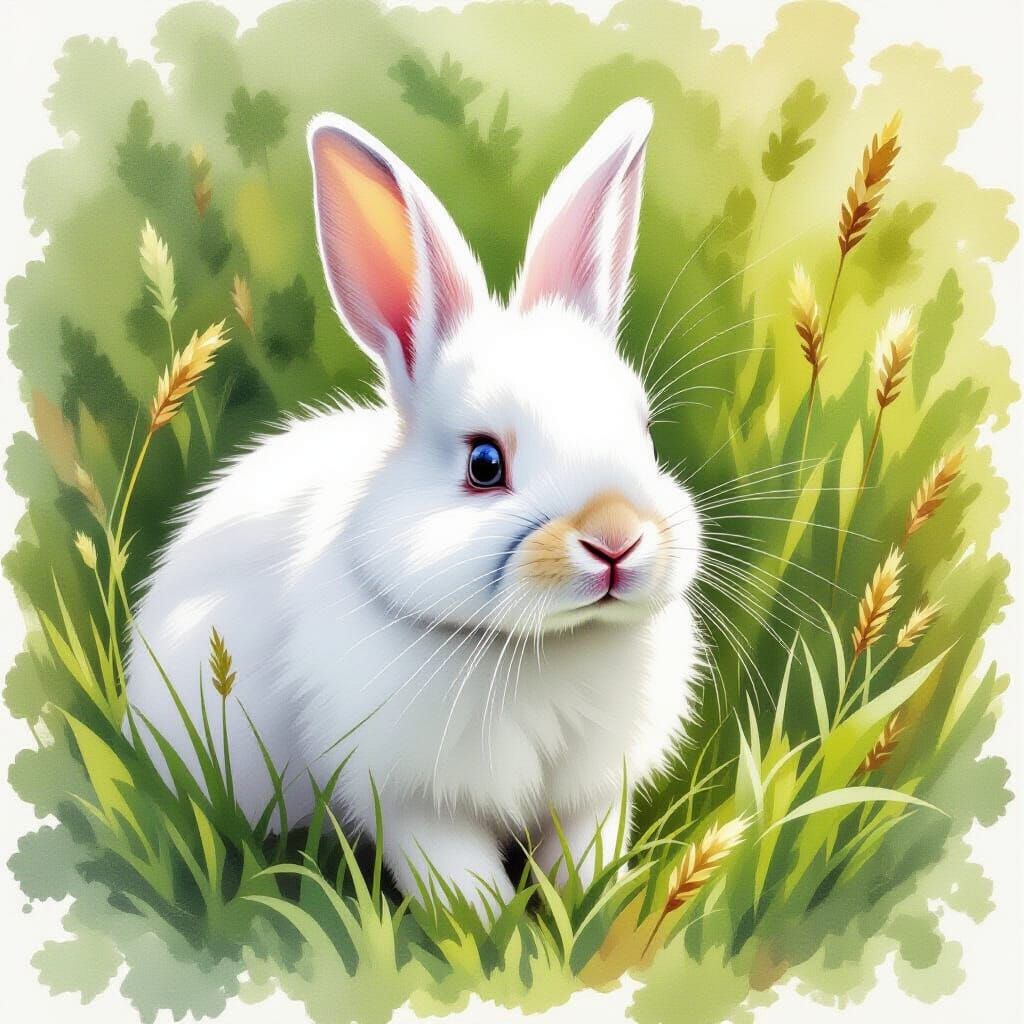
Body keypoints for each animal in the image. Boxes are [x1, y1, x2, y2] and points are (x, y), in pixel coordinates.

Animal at [126, 97, 703, 906]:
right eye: (484, 464)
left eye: (644, 433)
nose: (616, 538)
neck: (546, 645)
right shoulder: (412, 799)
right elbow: (459, 882)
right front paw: (488, 924)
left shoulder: (593, 795)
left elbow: (586, 860)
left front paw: (591, 910)